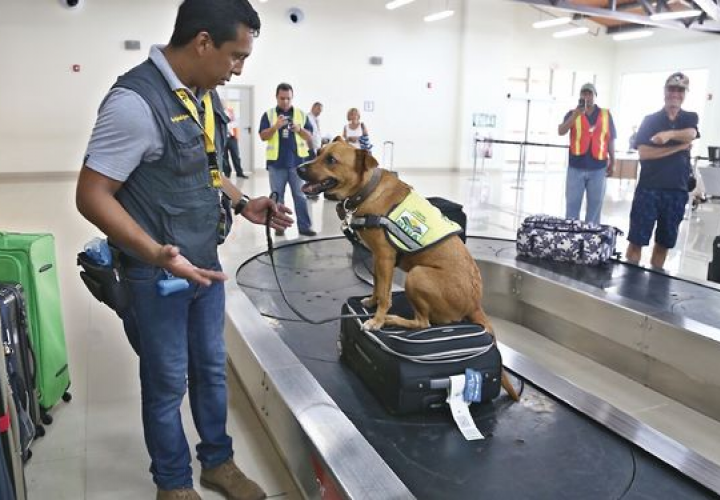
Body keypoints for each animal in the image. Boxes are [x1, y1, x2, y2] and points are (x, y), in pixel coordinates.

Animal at [298, 139, 516, 400]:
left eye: (331, 160)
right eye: (319, 153)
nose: (299, 168)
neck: (366, 190)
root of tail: (475, 304)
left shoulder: (384, 256)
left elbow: (386, 295)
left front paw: (377, 320)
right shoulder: (377, 259)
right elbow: (379, 287)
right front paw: (371, 302)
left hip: (417, 275)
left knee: (424, 324)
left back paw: (394, 319)